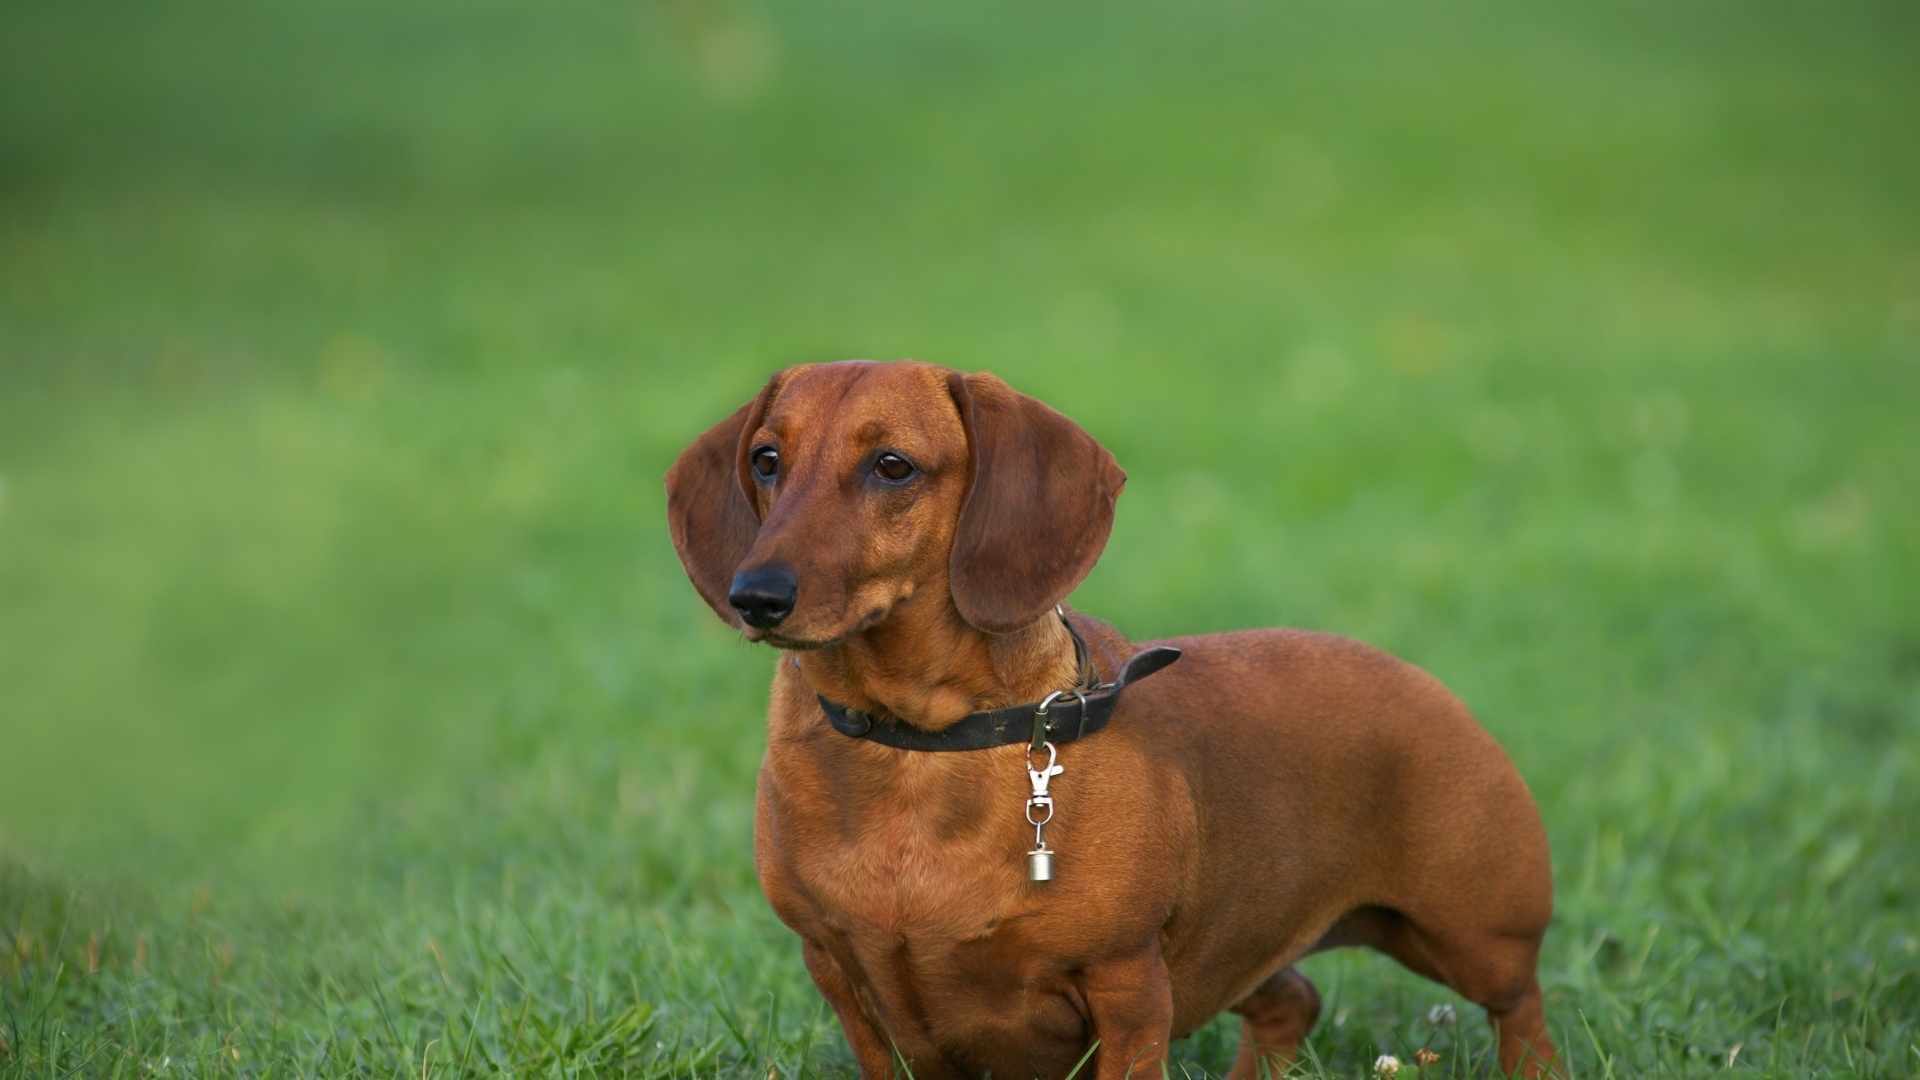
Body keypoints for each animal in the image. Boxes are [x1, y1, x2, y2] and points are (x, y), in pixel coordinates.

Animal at [668, 357, 1551, 1068]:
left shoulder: (1128, 990)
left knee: (1522, 1015)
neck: (920, 745)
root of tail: (1420, 678)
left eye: (893, 466)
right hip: (1234, 946)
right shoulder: (844, 979)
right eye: (766, 459)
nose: (755, 596)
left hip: (1477, 939)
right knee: (1293, 1001)